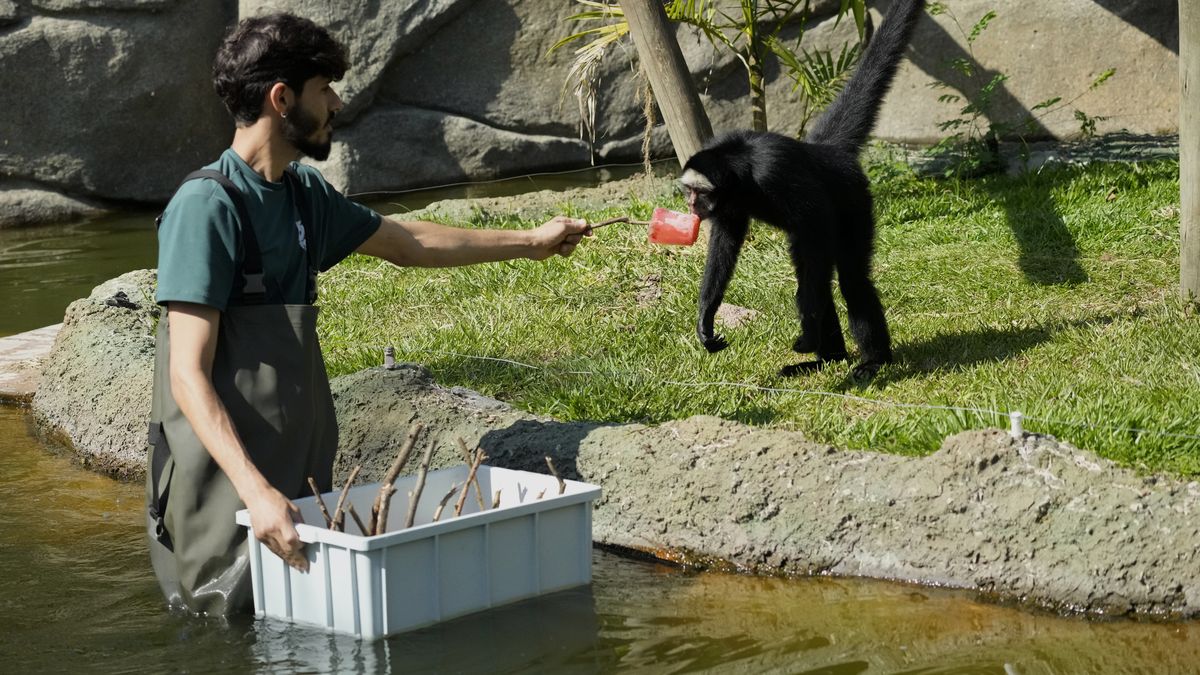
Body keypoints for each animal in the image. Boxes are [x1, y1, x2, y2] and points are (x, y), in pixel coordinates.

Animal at [680, 0, 926, 379]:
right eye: (689, 192)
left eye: (699, 193)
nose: (691, 205)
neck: (742, 164)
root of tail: (826, 152)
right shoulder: (731, 200)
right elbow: (727, 239)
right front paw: (706, 317)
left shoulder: (774, 173)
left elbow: (818, 230)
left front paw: (809, 333)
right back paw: (828, 359)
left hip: (854, 200)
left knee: (849, 277)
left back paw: (873, 361)